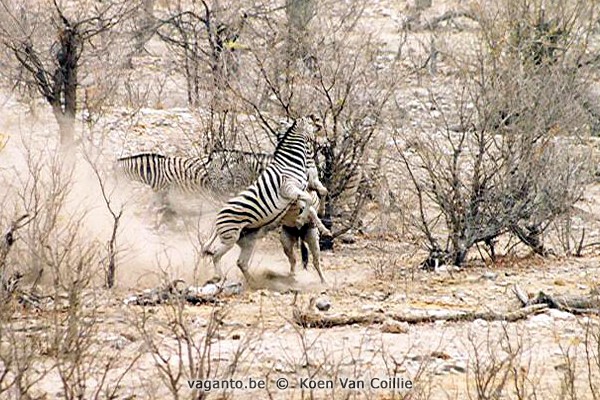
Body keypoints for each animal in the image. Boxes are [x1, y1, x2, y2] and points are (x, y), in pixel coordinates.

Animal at [204, 115, 330, 282]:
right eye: (309, 121)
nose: (317, 118)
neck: (292, 163)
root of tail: (217, 215)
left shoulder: (297, 193)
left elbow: (318, 196)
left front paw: (313, 218)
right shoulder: (289, 189)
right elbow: (309, 201)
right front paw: (301, 219)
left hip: (247, 240)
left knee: (241, 262)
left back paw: (253, 282)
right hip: (230, 237)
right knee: (216, 255)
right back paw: (220, 278)